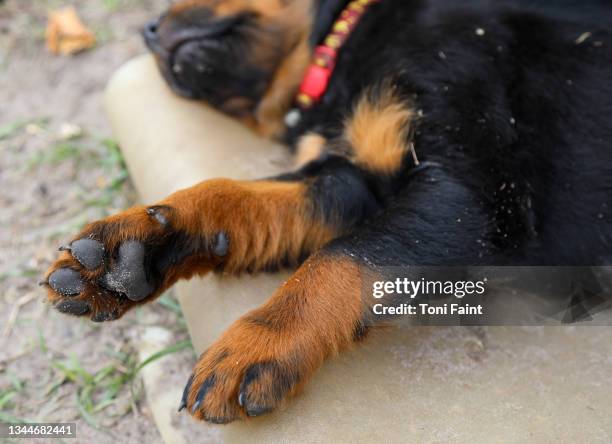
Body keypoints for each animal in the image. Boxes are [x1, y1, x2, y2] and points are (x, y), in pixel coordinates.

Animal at [44, 0, 612, 424]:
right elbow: (232, 195)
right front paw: (131, 250)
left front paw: (259, 339)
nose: (147, 30)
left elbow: (342, 259)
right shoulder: (348, 182)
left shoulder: (482, 198)